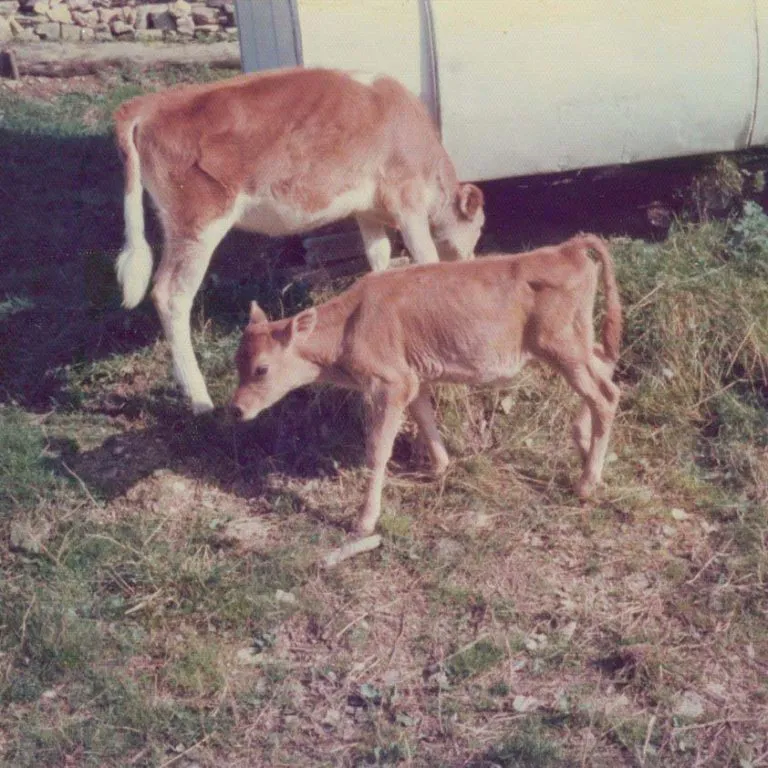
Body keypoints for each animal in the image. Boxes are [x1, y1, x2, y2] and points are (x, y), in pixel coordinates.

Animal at [113, 67, 485, 414]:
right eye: (479, 227)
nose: (471, 263)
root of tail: (150, 103)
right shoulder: (407, 201)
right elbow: (426, 261)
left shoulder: (368, 210)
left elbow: (379, 259)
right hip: (198, 224)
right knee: (170, 295)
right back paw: (199, 398)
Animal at [230, 234, 622, 536]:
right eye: (237, 362)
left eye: (261, 369)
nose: (236, 409)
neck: (350, 325)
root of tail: (566, 248)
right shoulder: (413, 378)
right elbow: (424, 416)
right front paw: (440, 466)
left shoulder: (389, 383)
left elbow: (378, 450)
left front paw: (365, 520)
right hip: (578, 343)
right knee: (606, 373)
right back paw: (584, 444)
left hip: (561, 346)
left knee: (604, 395)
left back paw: (586, 481)